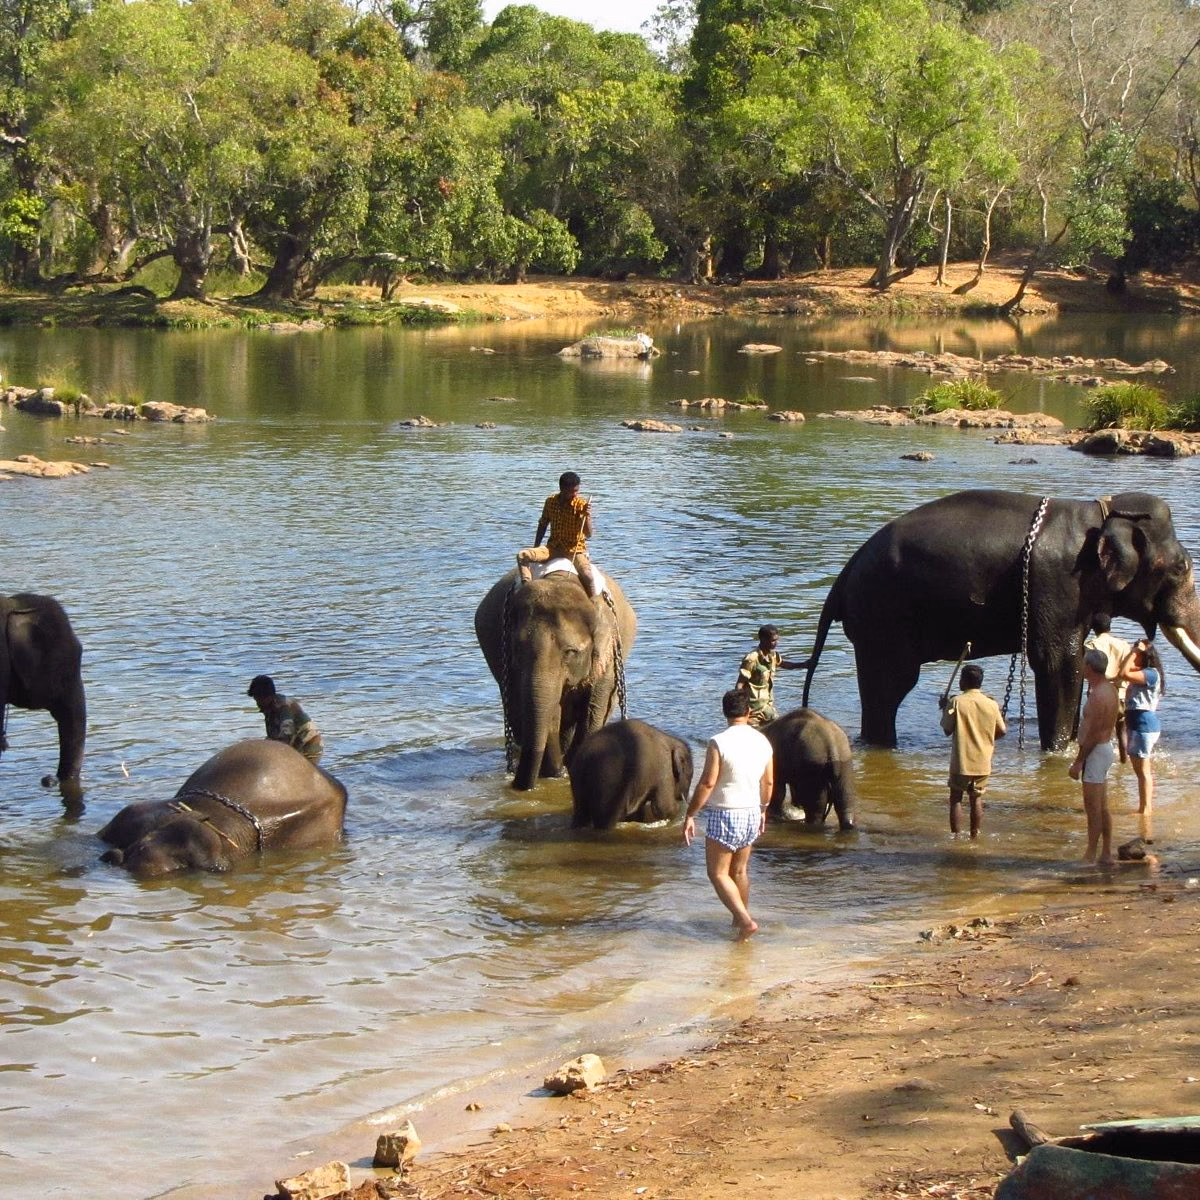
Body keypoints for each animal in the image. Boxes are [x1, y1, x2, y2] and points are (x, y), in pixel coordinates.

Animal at [475, 568, 637, 791]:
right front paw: (556, 773)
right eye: (517, 648)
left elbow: (592, 710)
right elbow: (549, 710)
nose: (515, 785)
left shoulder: (608, 656)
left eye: (570, 652)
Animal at [803, 490, 1200, 750]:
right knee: (890, 688)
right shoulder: (1057, 584)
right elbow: (1058, 664)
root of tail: (844, 575)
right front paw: (1057, 752)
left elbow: (1076, 664)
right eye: (1182, 567)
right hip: (882, 616)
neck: (1100, 513)